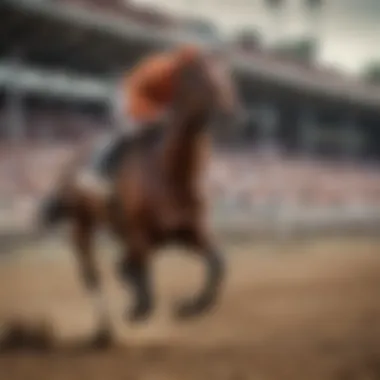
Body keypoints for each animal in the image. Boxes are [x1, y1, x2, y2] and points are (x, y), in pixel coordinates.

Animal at [39, 49, 240, 342]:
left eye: (227, 77)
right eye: (201, 78)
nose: (232, 116)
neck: (170, 174)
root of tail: (70, 160)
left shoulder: (189, 232)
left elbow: (218, 263)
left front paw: (189, 307)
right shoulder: (139, 233)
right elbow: (144, 282)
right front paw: (138, 308)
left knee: (119, 265)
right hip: (81, 223)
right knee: (92, 273)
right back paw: (104, 330)